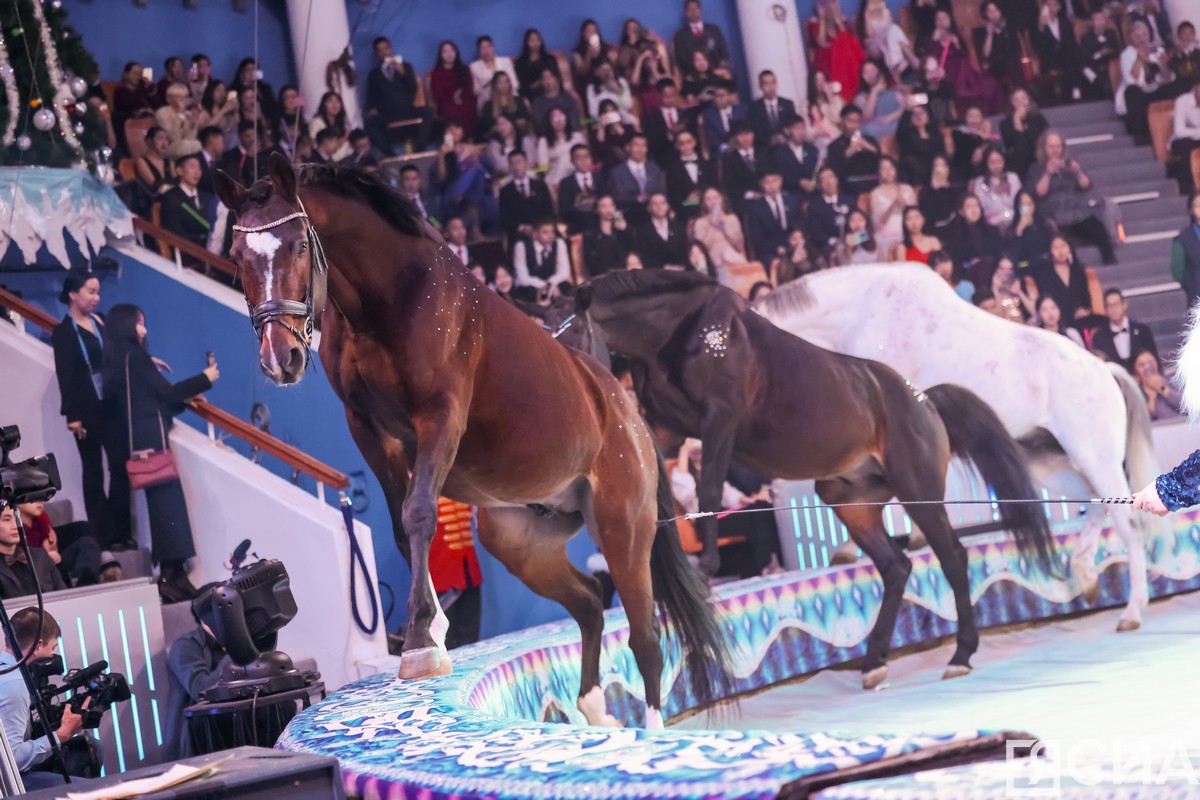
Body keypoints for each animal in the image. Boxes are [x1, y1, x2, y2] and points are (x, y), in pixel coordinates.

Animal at [214, 153, 729, 729]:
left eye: (300, 247)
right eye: (237, 256)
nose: (279, 357)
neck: (392, 299)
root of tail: (628, 415)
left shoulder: (441, 417)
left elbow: (418, 513)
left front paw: (420, 641)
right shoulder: (366, 428)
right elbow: (403, 527)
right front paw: (435, 629)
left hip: (624, 528)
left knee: (645, 637)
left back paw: (648, 731)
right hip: (523, 546)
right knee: (591, 601)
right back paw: (596, 712)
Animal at [554, 268, 1060, 690]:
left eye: (574, 330)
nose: (567, 394)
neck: (682, 332)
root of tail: (925, 402)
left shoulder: (720, 418)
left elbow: (708, 487)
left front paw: (707, 569)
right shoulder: (667, 427)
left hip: (919, 492)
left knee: (952, 558)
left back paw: (960, 654)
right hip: (852, 504)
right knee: (896, 567)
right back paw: (874, 663)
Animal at [758, 262, 1161, 633]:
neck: (860, 315)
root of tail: (1105, 370)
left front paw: (867, 544)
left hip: (1095, 459)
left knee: (1127, 522)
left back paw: (1132, 610)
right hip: (1050, 465)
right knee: (1095, 504)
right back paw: (1086, 577)